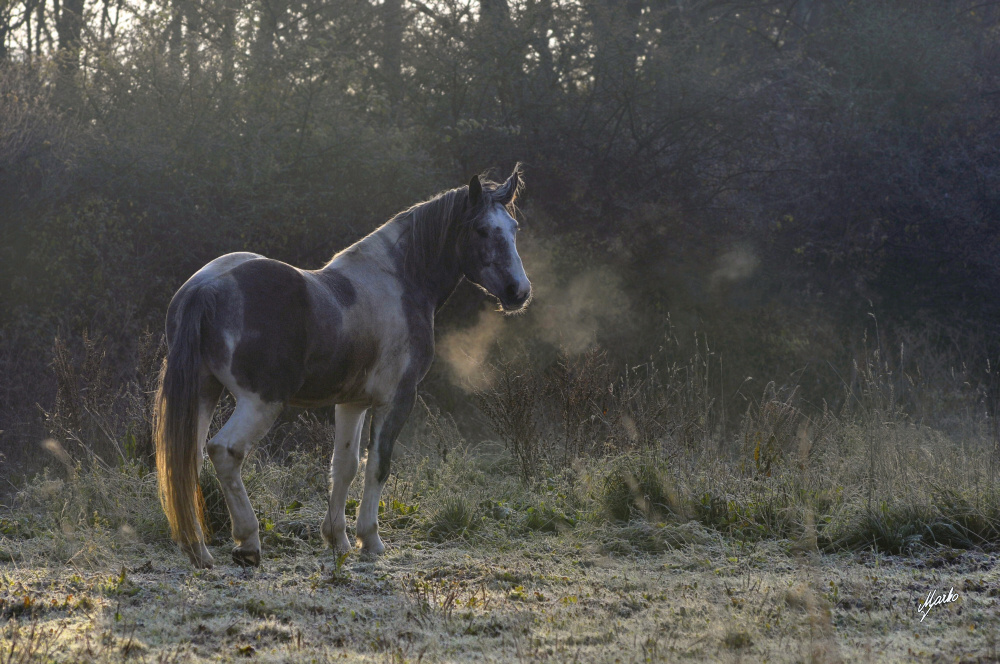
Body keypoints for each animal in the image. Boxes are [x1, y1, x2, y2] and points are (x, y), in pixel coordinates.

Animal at [154, 169, 532, 568]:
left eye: (513, 228)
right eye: (481, 229)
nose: (518, 291)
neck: (400, 279)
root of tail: (206, 288)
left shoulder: (352, 402)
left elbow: (345, 465)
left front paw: (337, 538)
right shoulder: (396, 399)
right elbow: (378, 464)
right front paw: (371, 540)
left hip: (204, 393)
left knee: (187, 460)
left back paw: (199, 550)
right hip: (260, 402)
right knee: (225, 452)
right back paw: (248, 543)